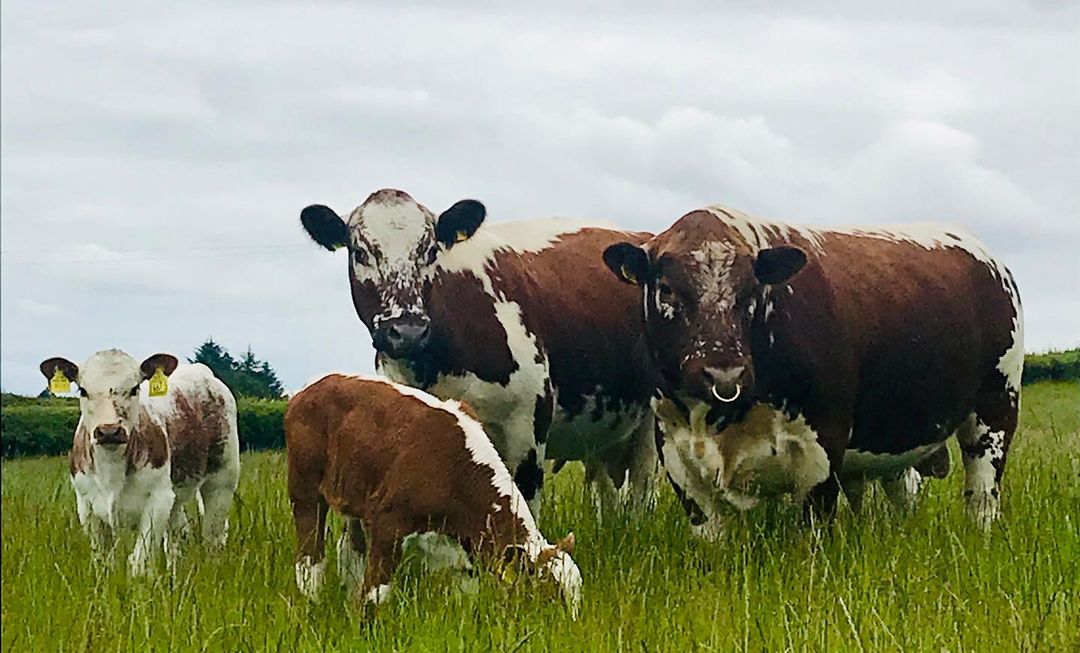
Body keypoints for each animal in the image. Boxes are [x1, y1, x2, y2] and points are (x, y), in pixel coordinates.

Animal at [39, 351, 240, 569]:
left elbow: (140, 561)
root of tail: (201, 370)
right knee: (176, 539)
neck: (111, 472)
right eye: (83, 390)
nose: (109, 431)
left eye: (134, 388)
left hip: (221, 481)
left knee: (213, 536)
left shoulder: (158, 500)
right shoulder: (86, 505)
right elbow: (102, 561)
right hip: (176, 498)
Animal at [282, 371, 578, 613]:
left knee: (350, 550)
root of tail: (315, 385)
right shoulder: (388, 525)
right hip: (304, 490)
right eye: (549, 595)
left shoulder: (463, 552)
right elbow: (375, 595)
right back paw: (312, 601)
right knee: (309, 557)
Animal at [604, 205, 1023, 535]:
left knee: (982, 494)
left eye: (751, 292)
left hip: (996, 407)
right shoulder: (675, 450)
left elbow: (812, 529)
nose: (725, 376)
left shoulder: (824, 445)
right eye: (667, 289)